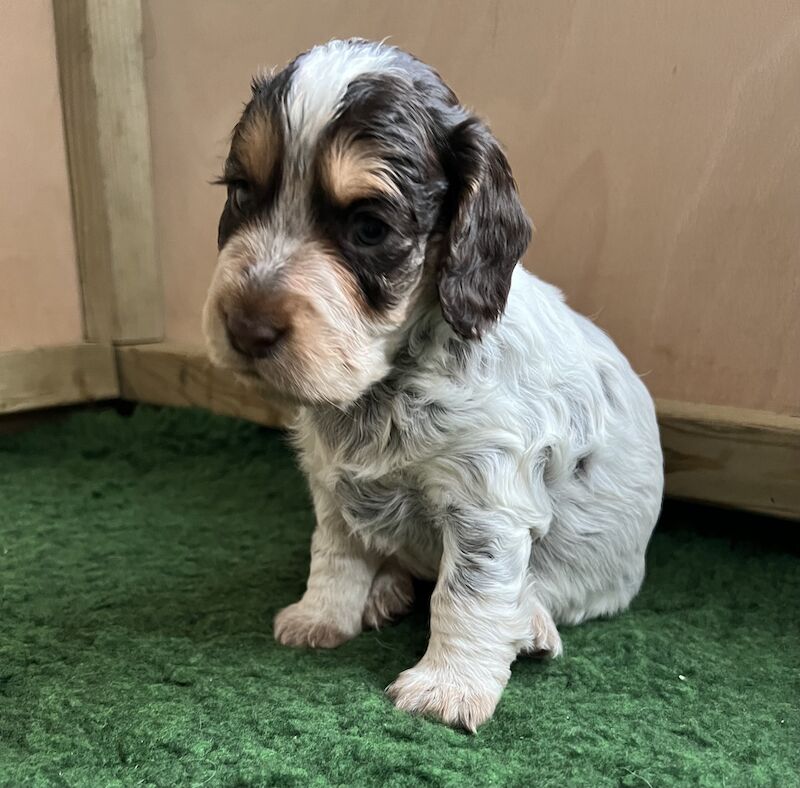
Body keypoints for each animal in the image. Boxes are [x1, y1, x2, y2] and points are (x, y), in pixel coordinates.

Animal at [205, 35, 664, 728]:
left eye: (370, 227)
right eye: (241, 192)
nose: (245, 329)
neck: (386, 384)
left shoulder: (487, 505)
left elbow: (467, 595)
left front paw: (447, 688)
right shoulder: (333, 486)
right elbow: (334, 555)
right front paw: (321, 618)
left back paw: (529, 626)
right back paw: (386, 591)